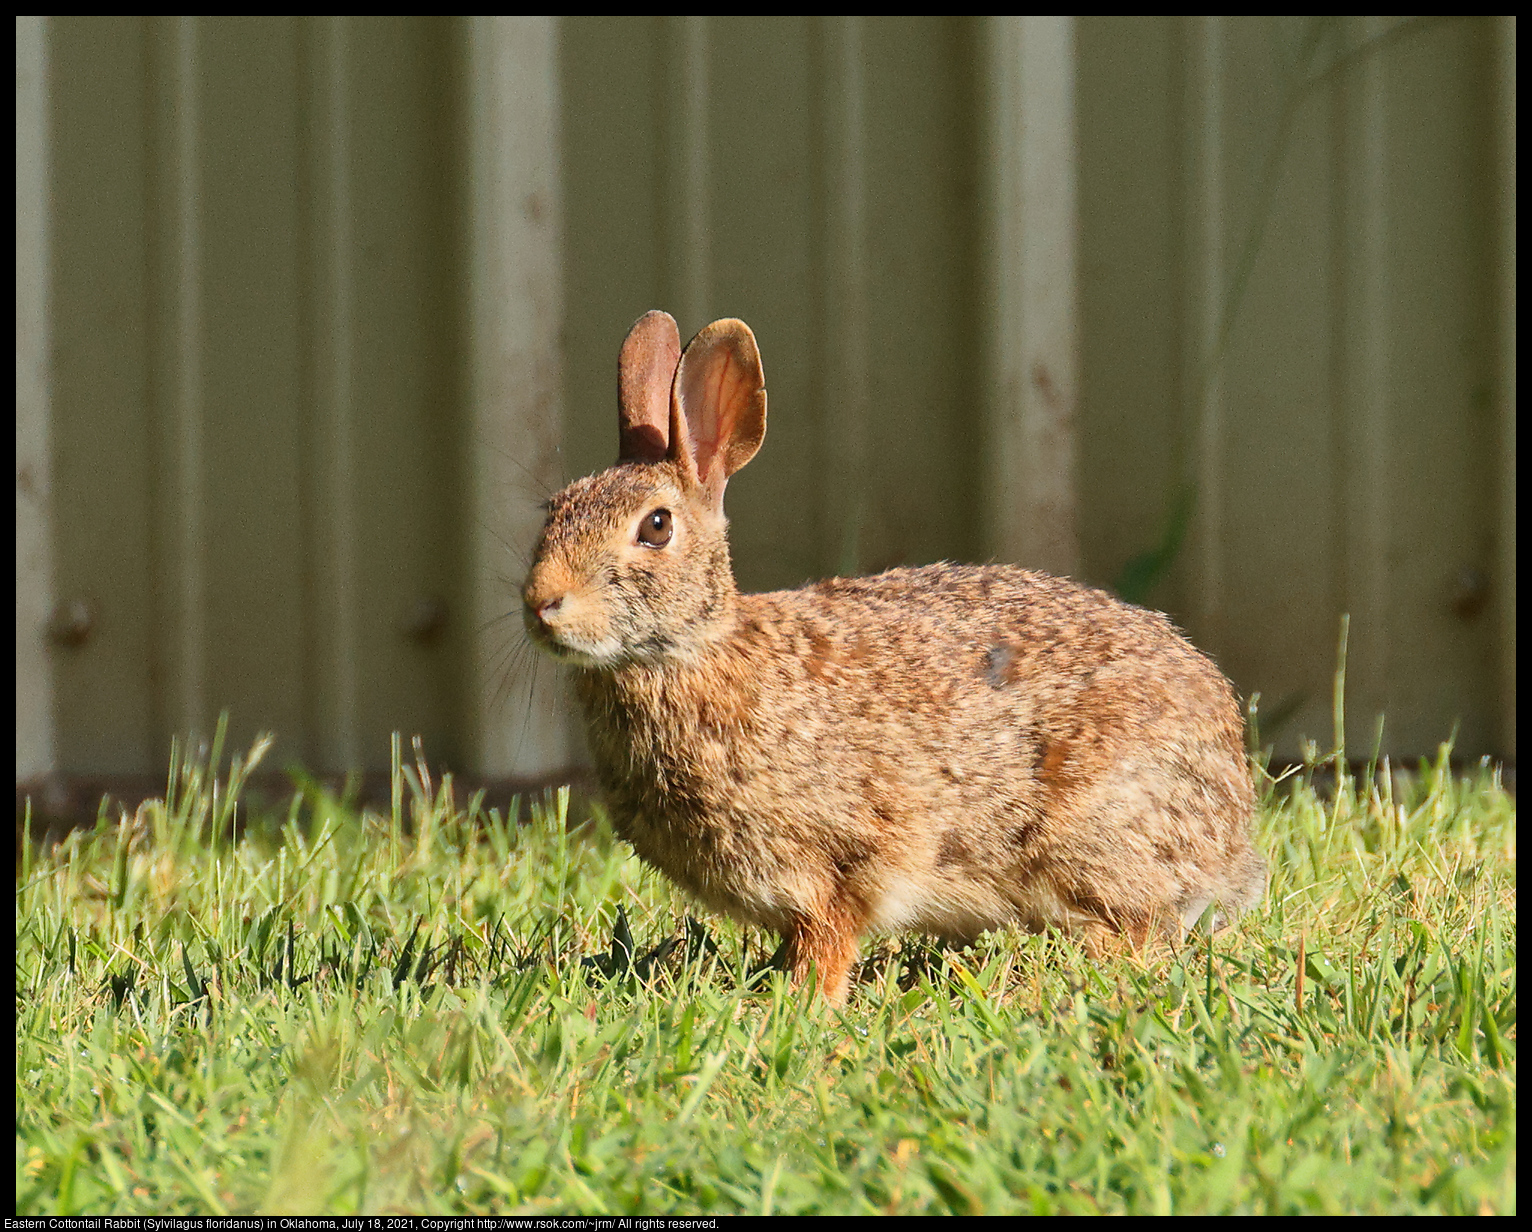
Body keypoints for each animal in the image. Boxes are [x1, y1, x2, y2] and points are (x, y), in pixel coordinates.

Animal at [527, 312, 1268, 1005]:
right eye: (552, 510)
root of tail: (1233, 826)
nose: (542, 602)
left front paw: (804, 1004)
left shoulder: (844, 861)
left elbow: (829, 936)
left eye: (656, 527)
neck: (692, 651)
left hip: (1090, 833)